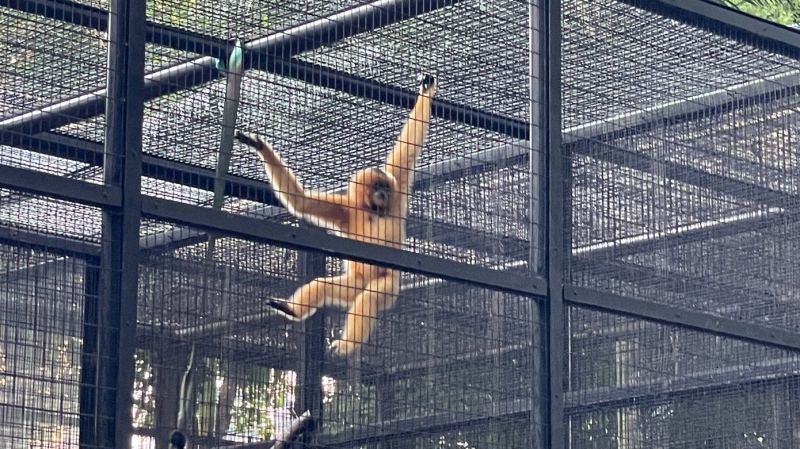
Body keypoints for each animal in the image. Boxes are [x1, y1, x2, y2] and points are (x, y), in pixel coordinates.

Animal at [236, 73, 438, 356]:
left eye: (385, 187)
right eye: (376, 187)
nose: (382, 193)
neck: (370, 210)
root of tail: (362, 282)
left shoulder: (397, 193)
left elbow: (408, 148)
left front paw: (426, 91)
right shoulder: (346, 209)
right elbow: (302, 202)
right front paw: (261, 146)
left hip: (388, 283)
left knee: (369, 298)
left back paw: (346, 344)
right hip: (352, 282)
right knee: (323, 285)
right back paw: (292, 309)